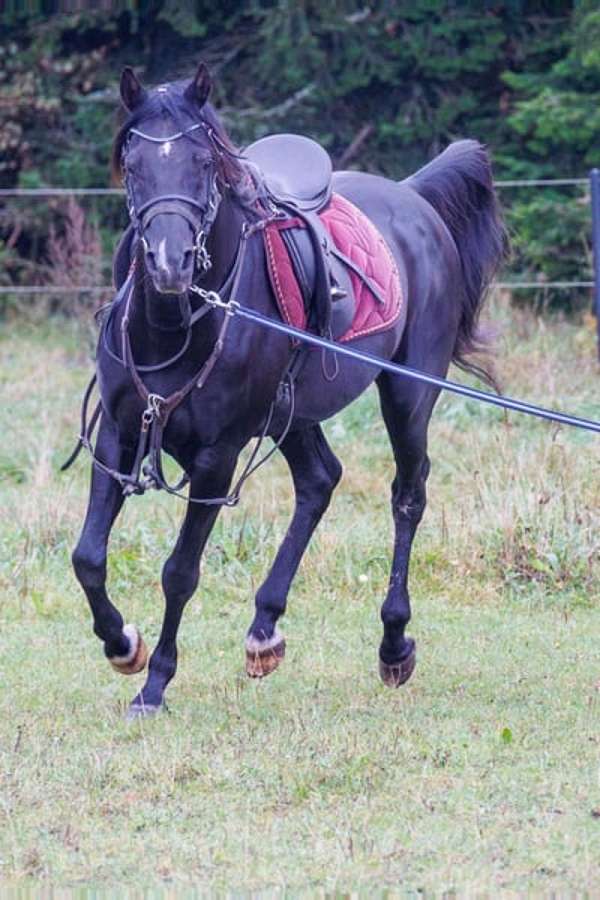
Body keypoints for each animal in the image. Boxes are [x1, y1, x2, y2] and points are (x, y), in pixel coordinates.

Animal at [70, 62, 506, 718]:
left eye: (204, 162)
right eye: (134, 162)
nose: (171, 264)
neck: (178, 322)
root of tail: (413, 197)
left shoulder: (217, 457)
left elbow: (180, 572)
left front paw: (156, 683)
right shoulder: (121, 433)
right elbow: (89, 557)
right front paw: (123, 644)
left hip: (407, 396)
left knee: (407, 496)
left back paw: (393, 644)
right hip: (291, 414)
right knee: (320, 480)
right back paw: (264, 629)